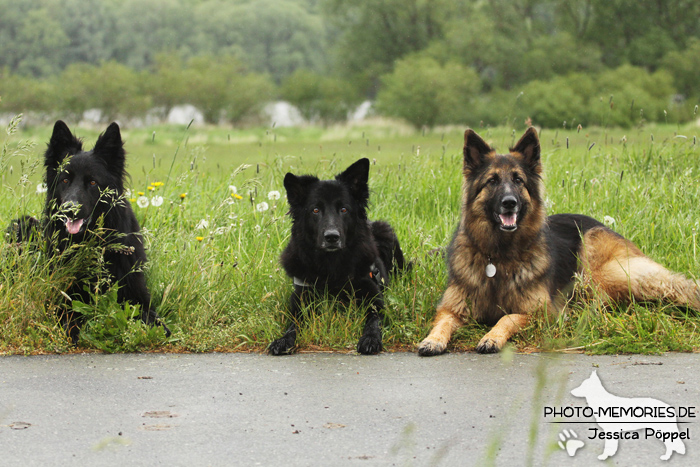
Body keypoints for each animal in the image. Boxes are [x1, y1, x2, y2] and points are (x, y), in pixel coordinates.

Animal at [10, 120, 171, 344]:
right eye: (65, 181)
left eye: (93, 182)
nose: (69, 209)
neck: (90, 242)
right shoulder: (61, 297)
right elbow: (70, 317)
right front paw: (74, 331)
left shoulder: (136, 295)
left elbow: (155, 320)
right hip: (22, 224)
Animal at [270, 157, 408, 354]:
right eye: (315, 210)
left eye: (343, 209)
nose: (332, 237)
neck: (331, 266)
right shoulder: (301, 299)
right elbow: (293, 324)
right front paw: (284, 340)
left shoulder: (374, 298)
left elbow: (373, 321)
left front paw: (370, 338)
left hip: (385, 231)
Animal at [418, 128, 696, 354]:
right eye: (492, 181)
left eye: (518, 180)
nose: (510, 203)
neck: (499, 257)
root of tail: (601, 224)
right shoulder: (452, 307)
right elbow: (442, 323)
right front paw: (432, 340)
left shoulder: (540, 312)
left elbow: (506, 318)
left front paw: (492, 337)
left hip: (600, 270)